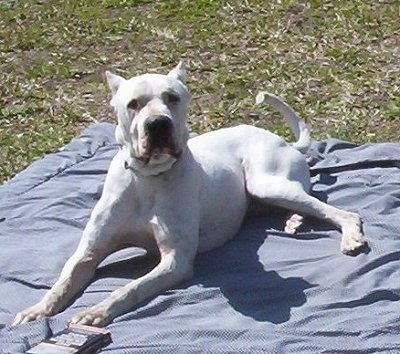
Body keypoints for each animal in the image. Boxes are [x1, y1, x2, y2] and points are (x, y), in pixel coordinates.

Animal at [12, 60, 368, 326]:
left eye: (172, 97)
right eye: (133, 104)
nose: (158, 124)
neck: (148, 179)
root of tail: (283, 141)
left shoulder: (176, 261)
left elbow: (129, 288)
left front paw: (96, 312)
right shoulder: (89, 252)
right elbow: (63, 281)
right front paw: (36, 311)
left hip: (266, 182)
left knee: (336, 210)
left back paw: (348, 235)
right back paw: (294, 221)